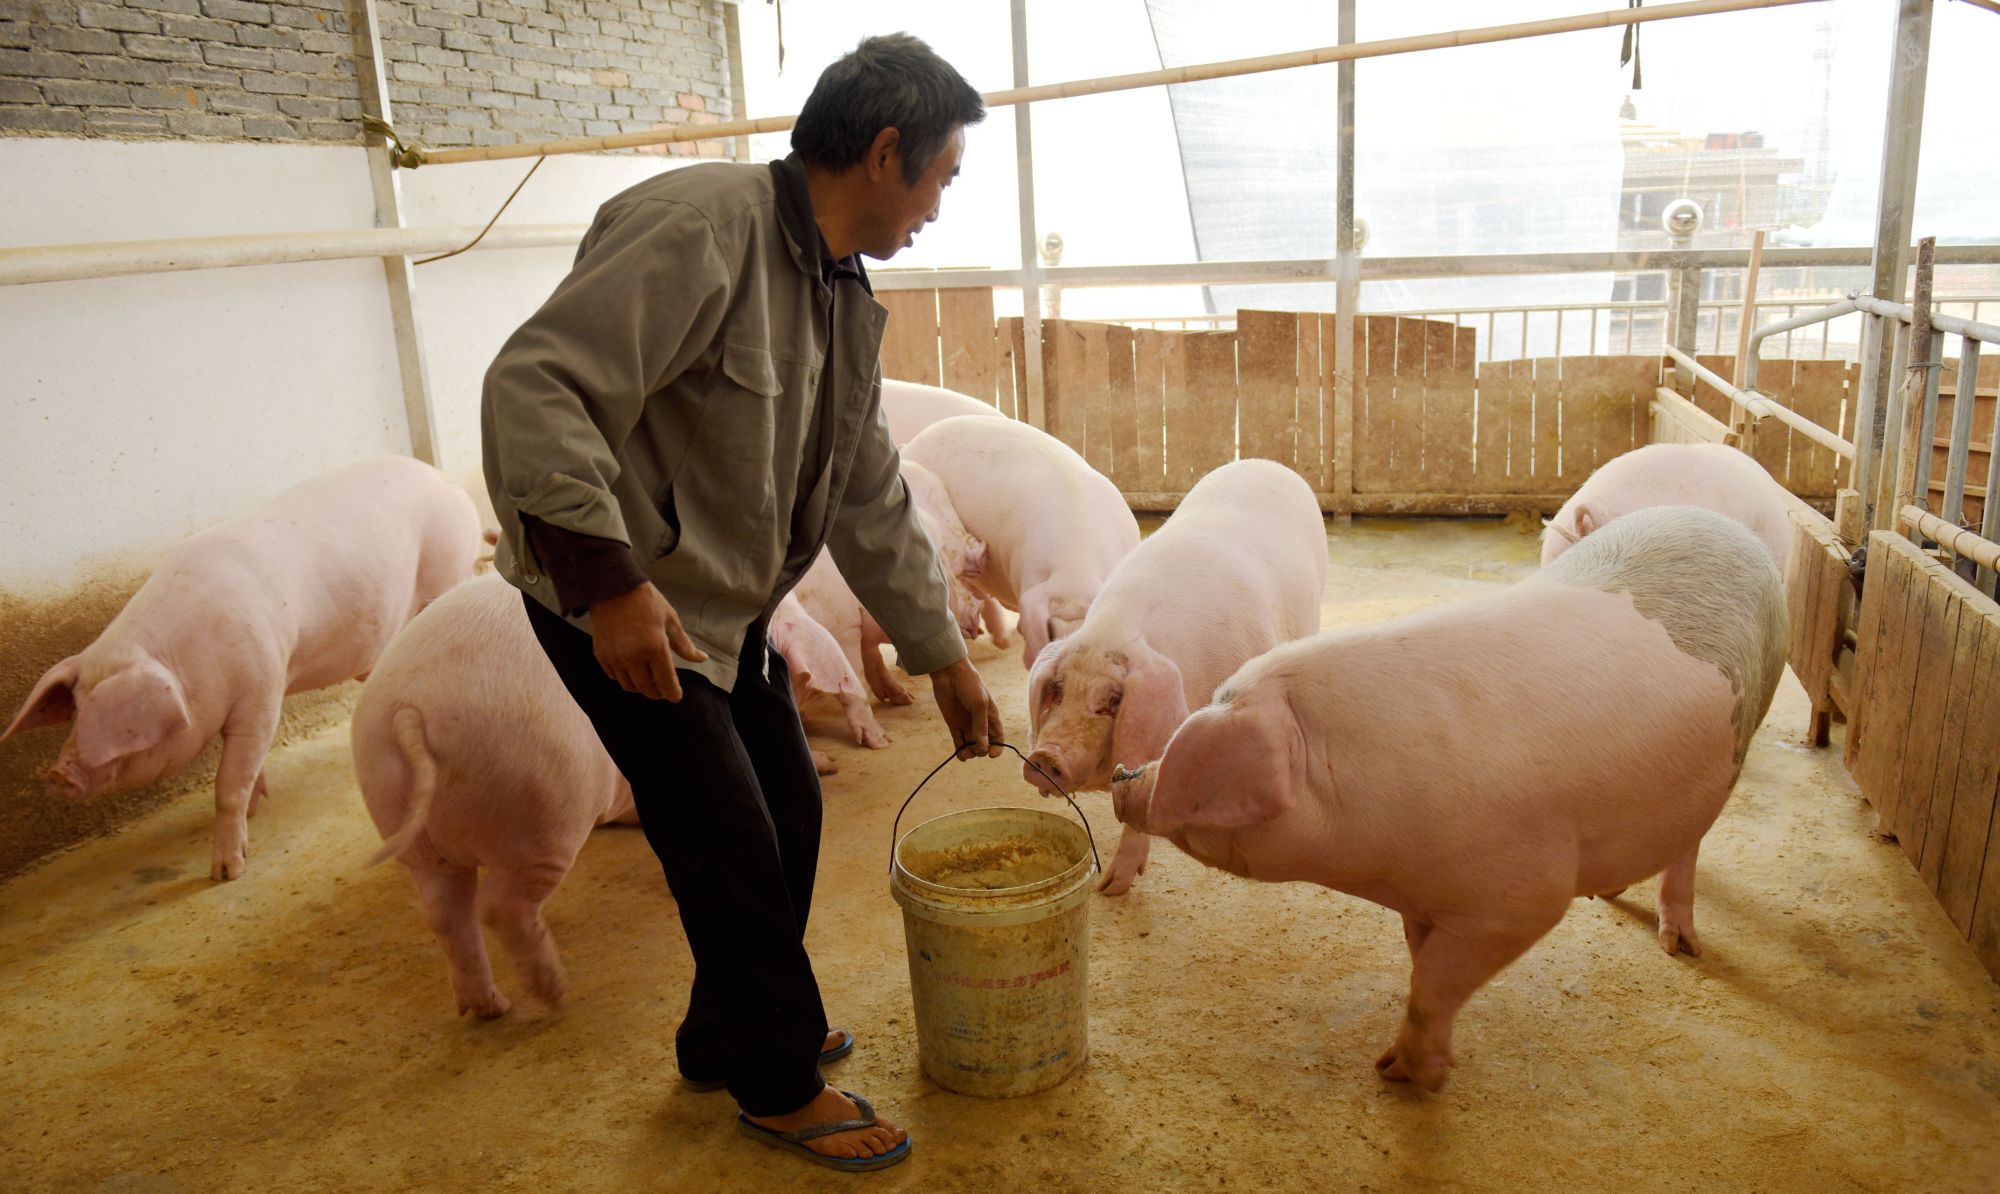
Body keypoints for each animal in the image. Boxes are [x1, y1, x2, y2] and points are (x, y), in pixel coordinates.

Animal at [3, 454, 482, 876]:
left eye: (119, 726)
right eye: (78, 707)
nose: (56, 773)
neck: (188, 658)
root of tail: (448, 483)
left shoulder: (262, 687)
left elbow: (229, 782)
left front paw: (225, 872)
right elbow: (247, 767)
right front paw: (257, 804)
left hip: (449, 567)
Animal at [356, 576, 636, 1016]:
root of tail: (407, 709)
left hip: (406, 826)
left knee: (444, 913)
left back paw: (490, 1008)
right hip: (542, 811)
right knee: (500, 904)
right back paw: (556, 997)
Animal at [1112, 502, 1784, 1088]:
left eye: (1212, 719)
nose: (1124, 775)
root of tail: (1730, 528)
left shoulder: (1518, 899)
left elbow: (1434, 985)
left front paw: (1401, 1077)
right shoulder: (1424, 896)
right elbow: (1421, 964)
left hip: (1741, 735)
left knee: (1689, 847)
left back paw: (1681, 948)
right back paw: (1612, 895)